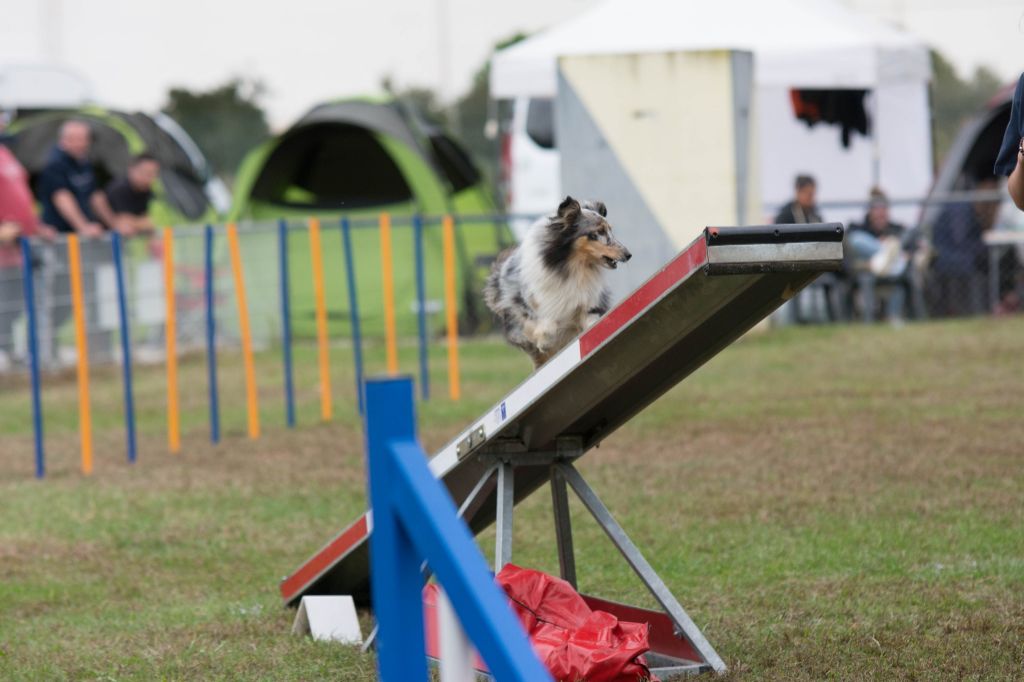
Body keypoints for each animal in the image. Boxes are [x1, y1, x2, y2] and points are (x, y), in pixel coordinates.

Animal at [481, 195, 630, 366]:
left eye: (610, 230)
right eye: (598, 232)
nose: (628, 254)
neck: (572, 269)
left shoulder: (589, 304)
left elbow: (592, 322)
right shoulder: (527, 304)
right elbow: (547, 325)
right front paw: (545, 341)